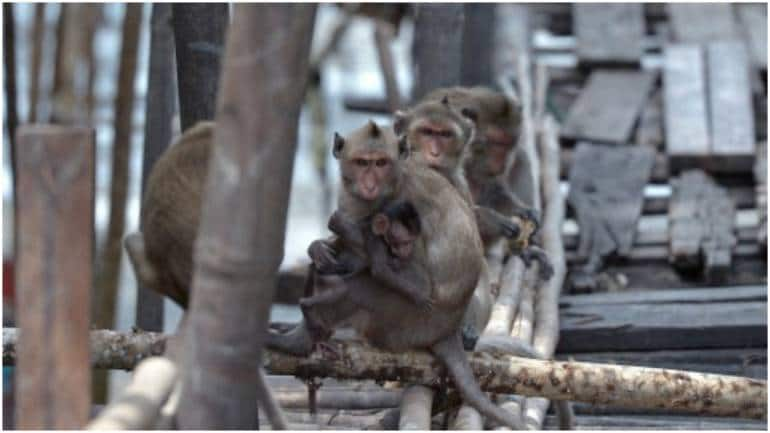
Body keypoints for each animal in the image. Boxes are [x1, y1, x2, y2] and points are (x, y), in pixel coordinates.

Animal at [268, 120, 524, 428]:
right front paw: (318, 247)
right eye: (362, 162)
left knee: (360, 288)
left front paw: (341, 233)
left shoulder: (399, 206)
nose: (369, 184)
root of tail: (448, 331)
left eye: (381, 163)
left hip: (404, 324)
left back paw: (304, 335)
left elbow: (404, 273)